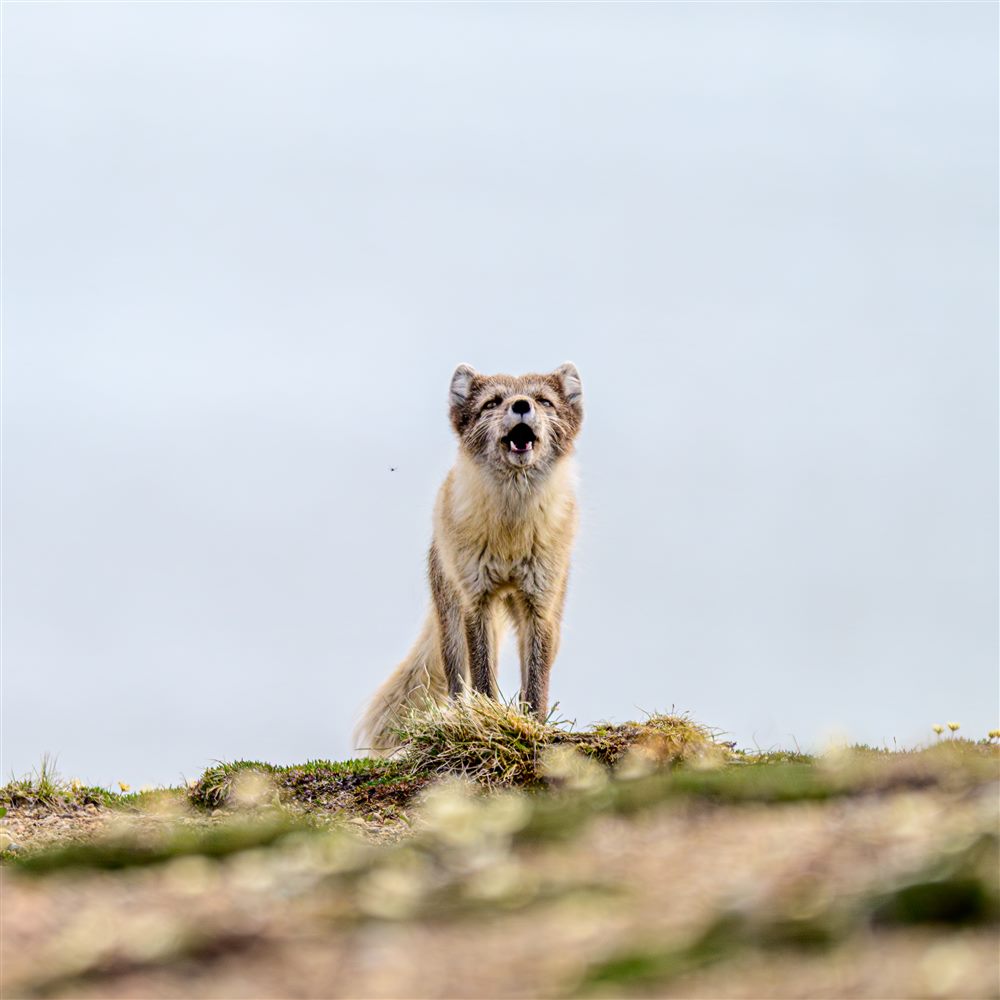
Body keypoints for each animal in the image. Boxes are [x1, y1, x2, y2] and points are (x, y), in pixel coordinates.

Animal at [355, 362, 584, 755]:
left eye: (544, 401)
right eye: (492, 402)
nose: (521, 404)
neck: (511, 536)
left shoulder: (538, 606)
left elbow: (536, 683)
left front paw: (533, 727)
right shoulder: (477, 601)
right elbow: (482, 677)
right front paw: (486, 717)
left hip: (549, 611)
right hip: (452, 615)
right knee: (458, 679)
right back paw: (461, 713)